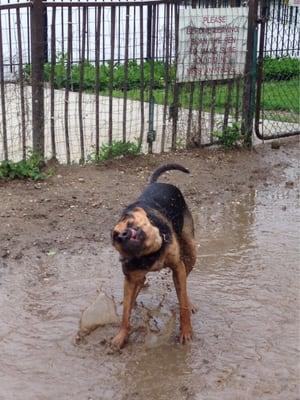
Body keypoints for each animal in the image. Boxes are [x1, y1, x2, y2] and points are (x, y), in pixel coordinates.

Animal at [111, 164, 196, 348]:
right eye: (115, 236)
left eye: (130, 223)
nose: (122, 235)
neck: (150, 253)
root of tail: (157, 183)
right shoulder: (130, 278)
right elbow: (125, 313)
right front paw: (121, 335)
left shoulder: (177, 268)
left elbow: (183, 305)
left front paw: (186, 331)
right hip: (139, 276)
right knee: (139, 287)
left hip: (191, 252)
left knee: (184, 288)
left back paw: (190, 302)